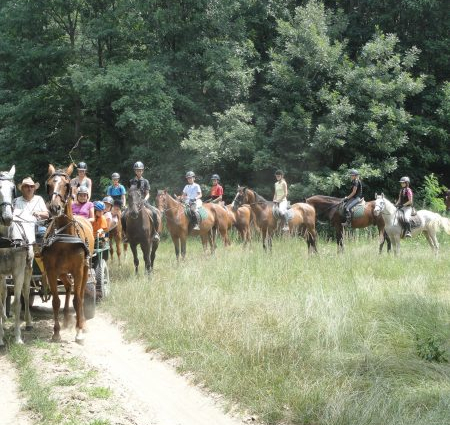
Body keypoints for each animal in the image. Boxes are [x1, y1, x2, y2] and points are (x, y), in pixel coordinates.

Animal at [41, 164, 94, 342]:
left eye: (67, 185)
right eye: (48, 184)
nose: (55, 207)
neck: (64, 236)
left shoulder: (78, 270)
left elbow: (77, 300)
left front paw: (79, 331)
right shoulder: (51, 271)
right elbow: (56, 301)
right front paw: (56, 332)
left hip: (85, 269)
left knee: (81, 294)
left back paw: (82, 323)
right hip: (63, 272)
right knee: (69, 286)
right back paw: (65, 319)